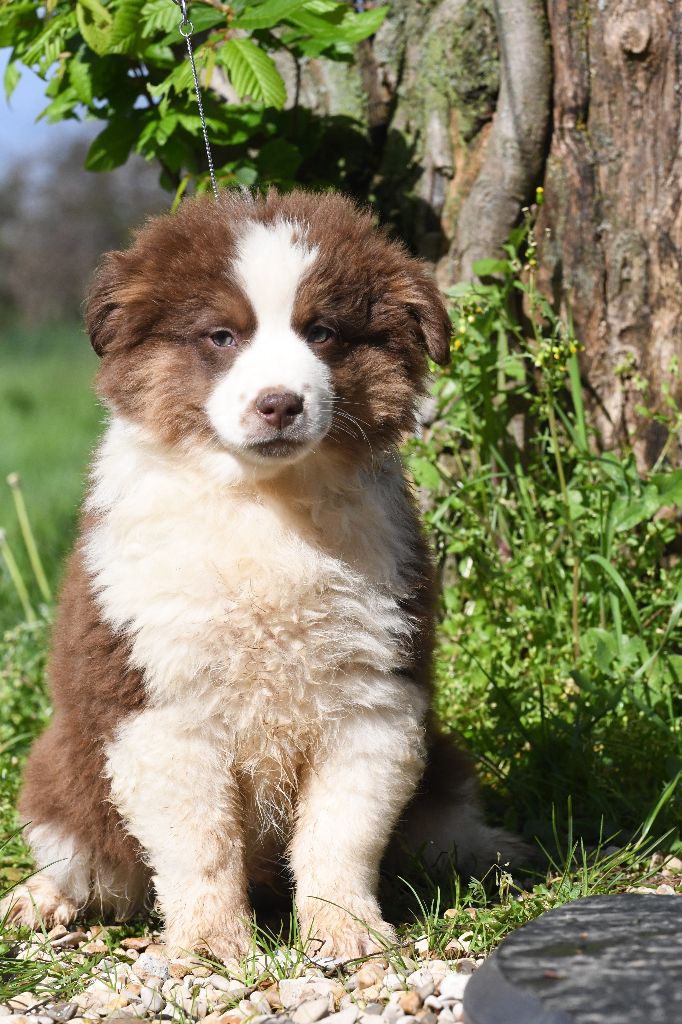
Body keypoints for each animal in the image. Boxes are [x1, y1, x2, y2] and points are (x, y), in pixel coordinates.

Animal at [3, 190, 518, 959]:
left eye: (323, 332)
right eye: (221, 336)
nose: (280, 403)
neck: (264, 506)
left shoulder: (374, 695)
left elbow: (340, 833)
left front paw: (347, 929)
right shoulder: (158, 704)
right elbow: (200, 844)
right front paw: (211, 946)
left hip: (440, 768)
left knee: (440, 829)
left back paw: (494, 851)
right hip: (63, 780)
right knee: (89, 862)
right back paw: (40, 899)